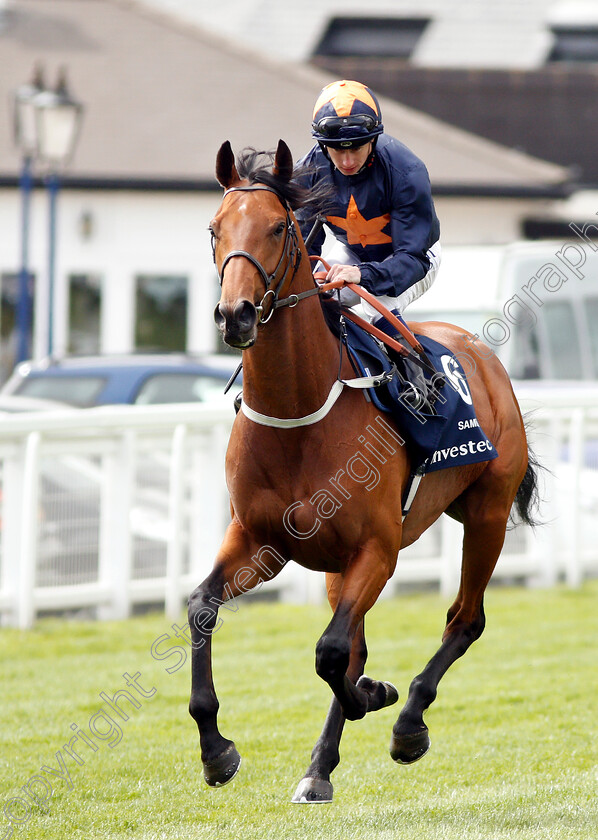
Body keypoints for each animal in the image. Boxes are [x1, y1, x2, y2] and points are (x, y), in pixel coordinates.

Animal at [188, 141, 540, 804]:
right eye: (215, 228)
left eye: (279, 227)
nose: (235, 315)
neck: (299, 415)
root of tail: (483, 355)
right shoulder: (261, 542)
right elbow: (202, 607)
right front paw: (216, 751)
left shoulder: (378, 548)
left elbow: (330, 653)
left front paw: (375, 698)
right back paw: (320, 767)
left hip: (486, 513)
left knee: (464, 619)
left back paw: (407, 724)